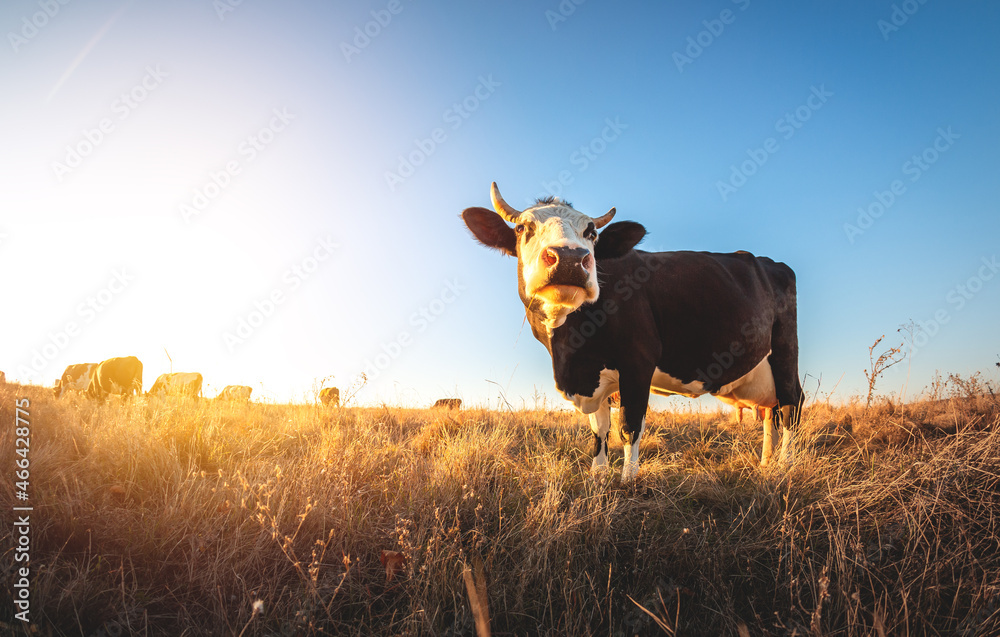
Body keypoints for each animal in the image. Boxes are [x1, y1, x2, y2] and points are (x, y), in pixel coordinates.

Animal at [462, 181, 804, 480]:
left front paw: (628, 480)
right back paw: (766, 464)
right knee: (770, 412)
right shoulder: (594, 380)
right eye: (523, 228)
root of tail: (770, 262)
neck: (570, 350)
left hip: (785, 351)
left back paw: (786, 466)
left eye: (592, 233)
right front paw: (598, 476)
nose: (570, 257)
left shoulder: (638, 363)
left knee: (791, 405)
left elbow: (628, 426)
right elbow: (599, 430)